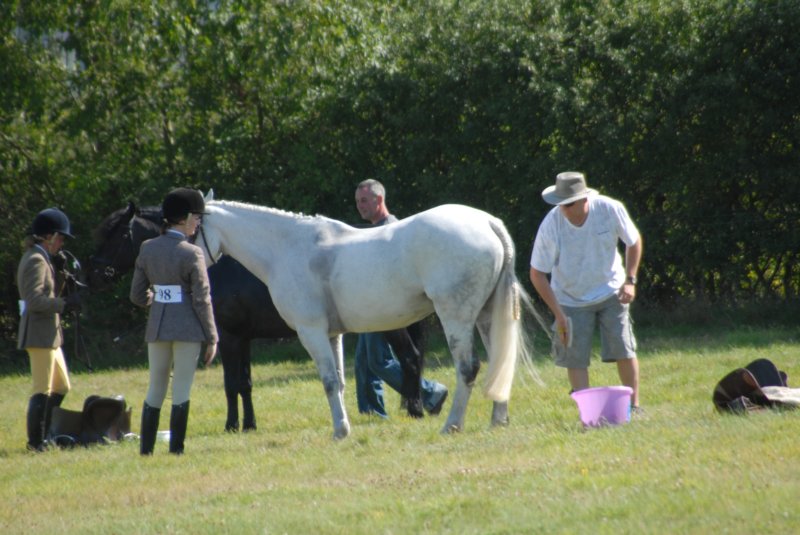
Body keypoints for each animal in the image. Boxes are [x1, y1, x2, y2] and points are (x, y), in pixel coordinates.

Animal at [90, 203, 428, 434]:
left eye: (116, 233)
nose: (91, 275)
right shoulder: (244, 338)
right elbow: (246, 383)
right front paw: (249, 424)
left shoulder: (229, 337)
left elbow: (232, 384)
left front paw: (231, 425)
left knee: (410, 358)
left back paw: (416, 409)